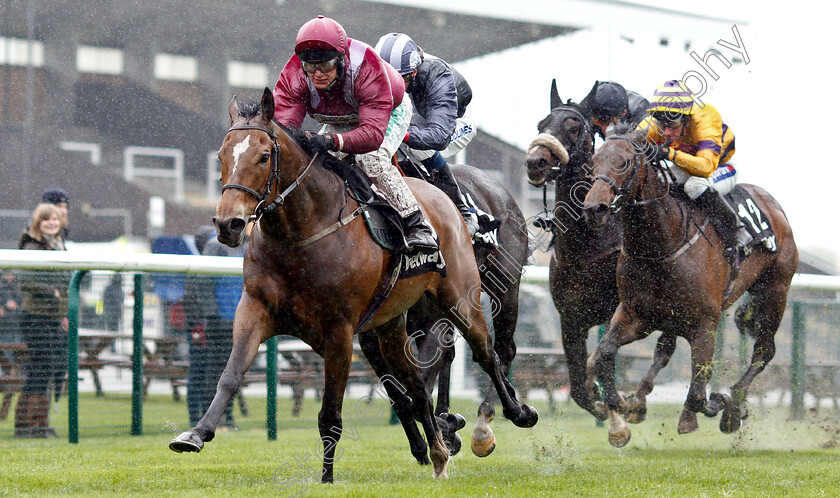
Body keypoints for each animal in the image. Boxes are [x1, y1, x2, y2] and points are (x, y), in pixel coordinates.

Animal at [358, 161, 528, 458]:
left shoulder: (431, 321)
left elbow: (419, 387)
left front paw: (445, 427)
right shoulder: (371, 333)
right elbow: (400, 391)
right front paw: (431, 435)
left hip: (504, 288)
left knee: (503, 349)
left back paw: (490, 423)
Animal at [524, 83, 624, 422]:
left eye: (574, 126)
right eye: (541, 125)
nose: (536, 162)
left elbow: (604, 359)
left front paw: (617, 407)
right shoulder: (571, 319)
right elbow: (579, 387)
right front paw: (601, 403)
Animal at [580, 132, 796, 448]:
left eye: (625, 161)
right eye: (594, 161)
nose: (595, 208)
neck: (661, 245)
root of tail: (774, 205)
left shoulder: (705, 324)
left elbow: (698, 392)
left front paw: (719, 404)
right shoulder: (636, 314)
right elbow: (606, 351)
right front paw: (619, 409)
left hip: (774, 291)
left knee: (764, 351)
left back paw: (734, 406)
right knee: (664, 349)